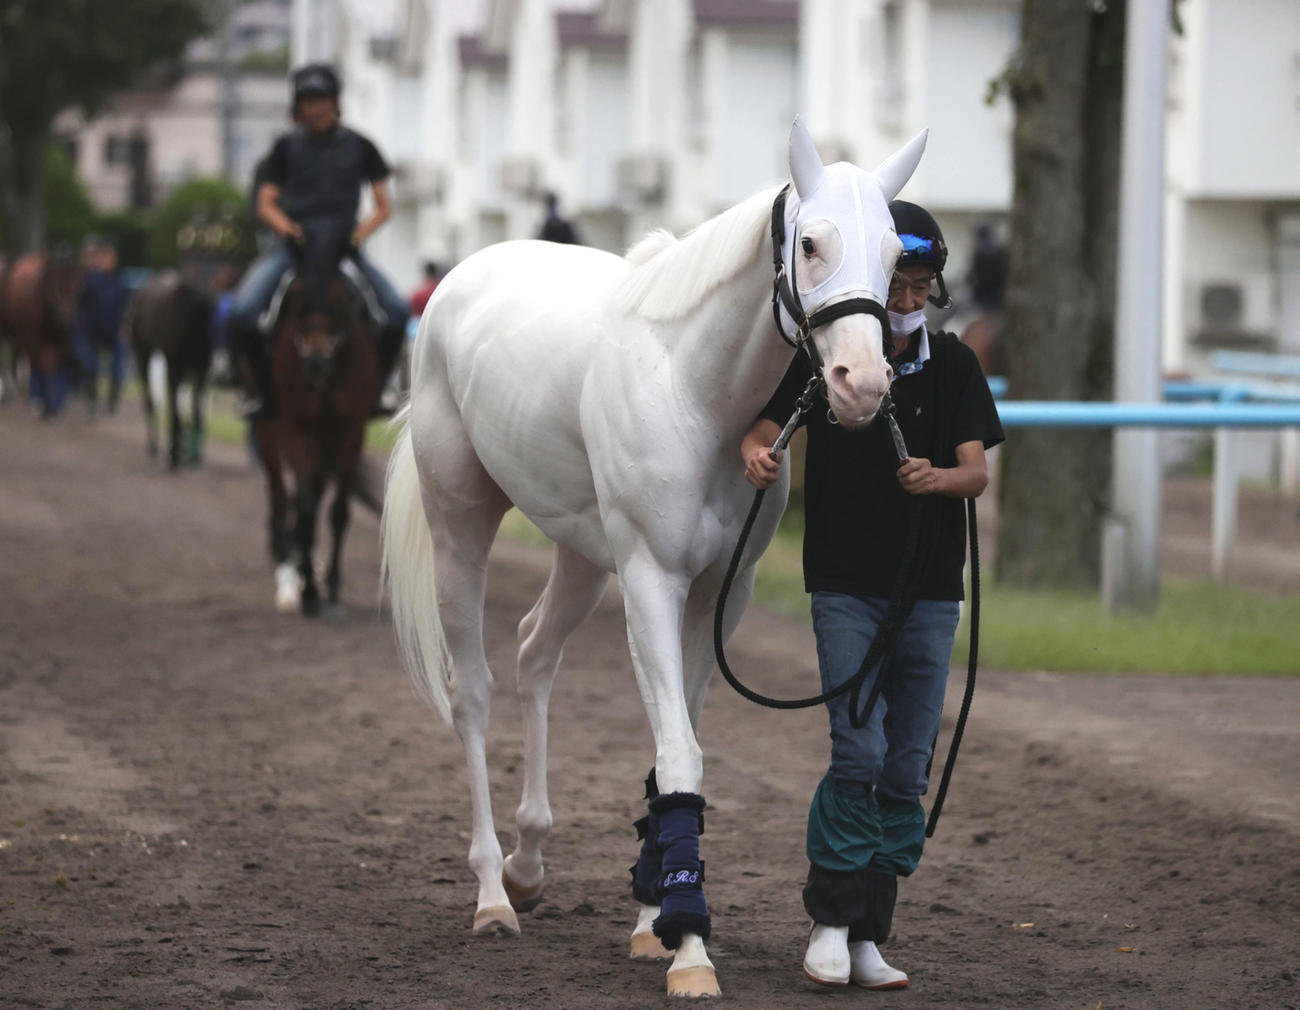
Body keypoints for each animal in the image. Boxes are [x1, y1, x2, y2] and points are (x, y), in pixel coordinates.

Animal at [0, 252, 81, 417]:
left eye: (75, 286)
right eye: (54, 288)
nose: (65, 316)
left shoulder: (62, 341)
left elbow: (64, 361)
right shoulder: (36, 341)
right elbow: (46, 367)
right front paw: (47, 407)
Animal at [125, 269, 216, 468]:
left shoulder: (197, 367)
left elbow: (189, 407)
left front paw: (182, 451)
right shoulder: (185, 365)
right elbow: (181, 405)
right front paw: (178, 452)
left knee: (168, 401)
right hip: (154, 358)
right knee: (157, 400)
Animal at [253, 229, 382, 617]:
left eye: (343, 298)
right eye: (294, 296)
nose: (314, 361)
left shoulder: (351, 432)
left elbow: (337, 512)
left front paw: (331, 583)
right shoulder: (297, 431)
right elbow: (307, 508)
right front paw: (308, 591)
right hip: (269, 431)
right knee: (282, 499)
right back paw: (287, 572)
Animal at [380, 118, 928, 999]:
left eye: (889, 250)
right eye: (811, 243)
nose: (861, 383)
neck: (694, 393)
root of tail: (459, 279)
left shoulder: (718, 593)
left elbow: (679, 745)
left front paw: (651, 920)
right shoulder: (649, 580)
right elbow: (678, 753)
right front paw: (689, 948)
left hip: (581, 552)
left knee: (534, 653)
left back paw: (529, 865)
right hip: (461, 520)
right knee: (474, 690)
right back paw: (493, 893)